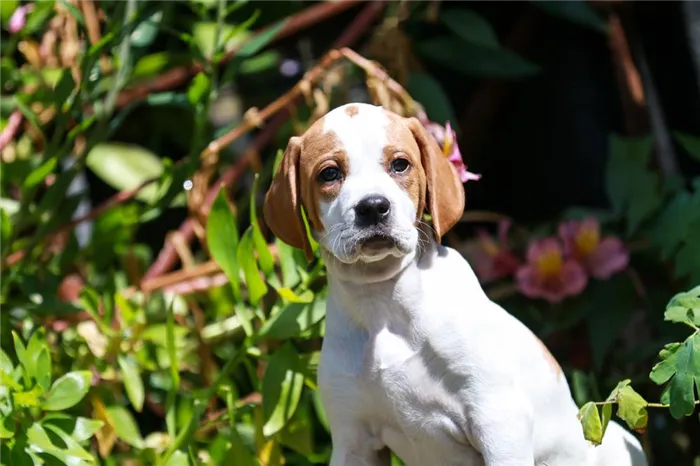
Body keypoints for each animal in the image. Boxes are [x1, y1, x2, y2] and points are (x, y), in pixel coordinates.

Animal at [264, 103, 652, 466]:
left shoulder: (498, 419)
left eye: (400, 165)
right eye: (330, 173)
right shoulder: (353, 439)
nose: (373, 207)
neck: (382, 302)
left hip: (617, 441)